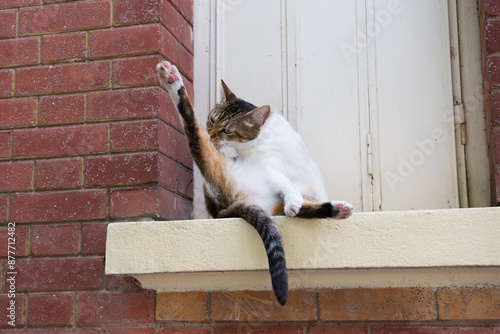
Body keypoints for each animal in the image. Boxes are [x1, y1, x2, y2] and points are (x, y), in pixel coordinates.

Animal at [158, 60, 354, 306]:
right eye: (212, 119)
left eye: (227, 130)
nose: (212, 134)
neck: (264, 136)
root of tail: (224, 210)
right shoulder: (268, 168)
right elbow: (284, 183)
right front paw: (292, 199)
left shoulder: (309, 170)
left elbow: (309, 185)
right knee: (192, 128)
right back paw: (173, 80)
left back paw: (336, 209)